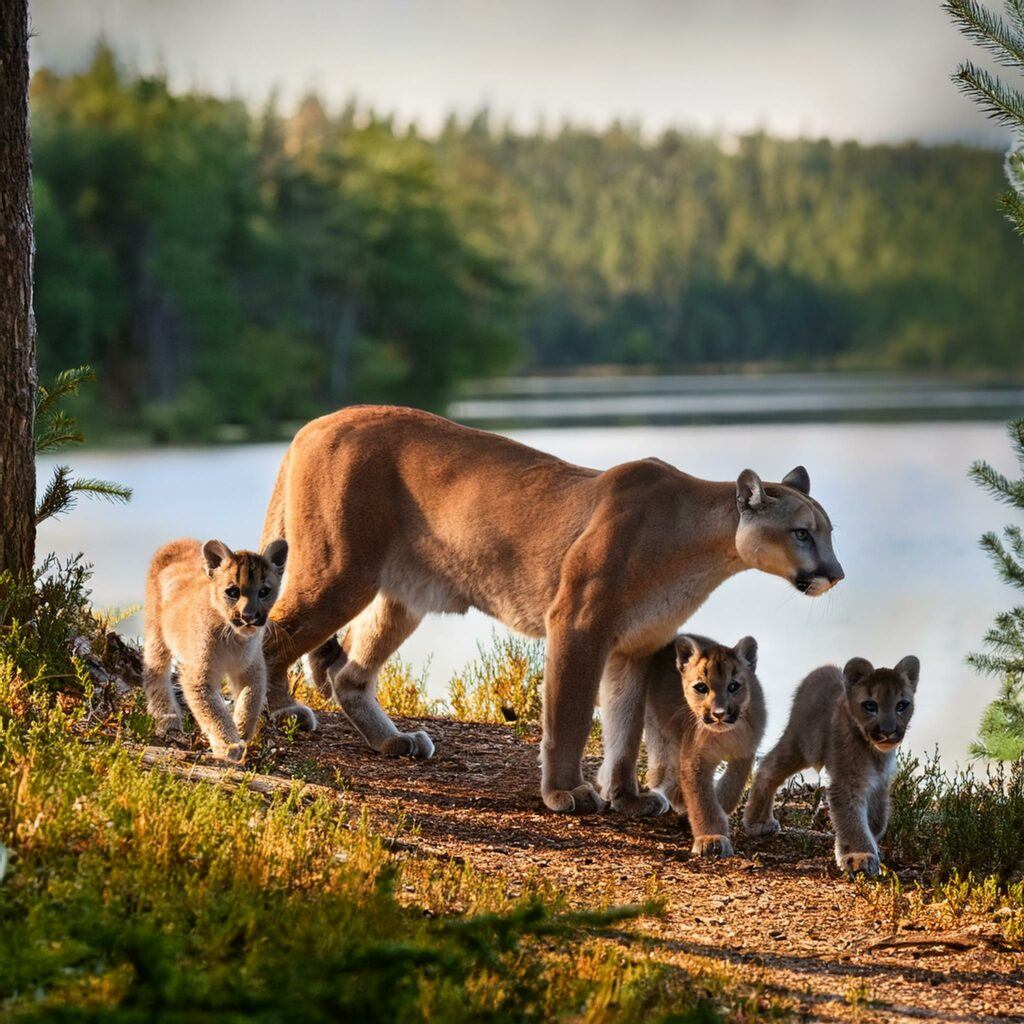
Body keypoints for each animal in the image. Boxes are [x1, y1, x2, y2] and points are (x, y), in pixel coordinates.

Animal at [260, 403, 843, 811]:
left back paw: (393, 741)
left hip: (401, 595)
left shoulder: (635, 646)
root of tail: (316, 423)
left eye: (829, 532)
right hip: (340, 572)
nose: (836, 575)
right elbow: (571, 713)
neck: (703, 547)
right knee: (270, 637)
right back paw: (281, 713)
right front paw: (568, 791)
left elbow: (626, 726)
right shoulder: (580, 623)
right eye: (801, 533)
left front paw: (626, 796)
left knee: (348, 674)